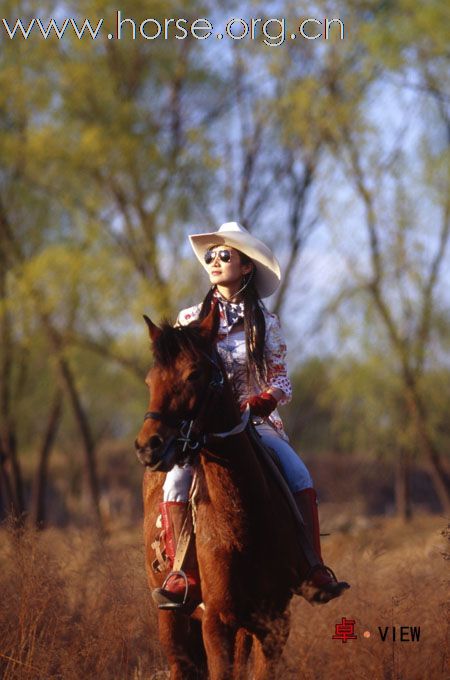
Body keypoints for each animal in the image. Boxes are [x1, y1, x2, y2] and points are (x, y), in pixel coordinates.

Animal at [135, 310, 308, 680]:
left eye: (194, 373)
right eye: (149, 380)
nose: (148, 446)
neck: (243, 522)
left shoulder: (274, 623)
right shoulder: (217, 623)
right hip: (172, 620)